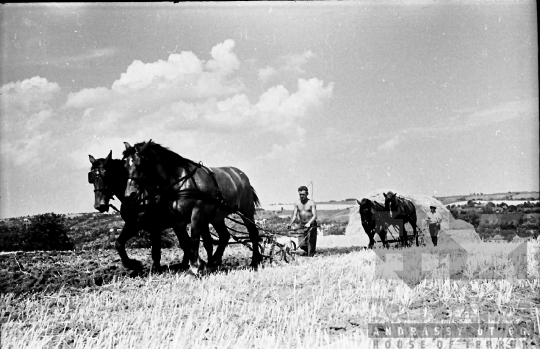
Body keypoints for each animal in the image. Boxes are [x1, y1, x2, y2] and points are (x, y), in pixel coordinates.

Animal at [124, 140, 264, 274]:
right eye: (125, 166)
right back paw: (213, 262)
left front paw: (196, 267)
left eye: (140, 164)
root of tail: (240, 174)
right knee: (224, 236)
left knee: (253, 233)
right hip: (216, 217)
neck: (181, 181)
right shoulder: (177, 219)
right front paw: (199, 264)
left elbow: (194, 239)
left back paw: (254, 262)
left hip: (246, 211)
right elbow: (185, 241)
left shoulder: (197, 213)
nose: (130, 195)